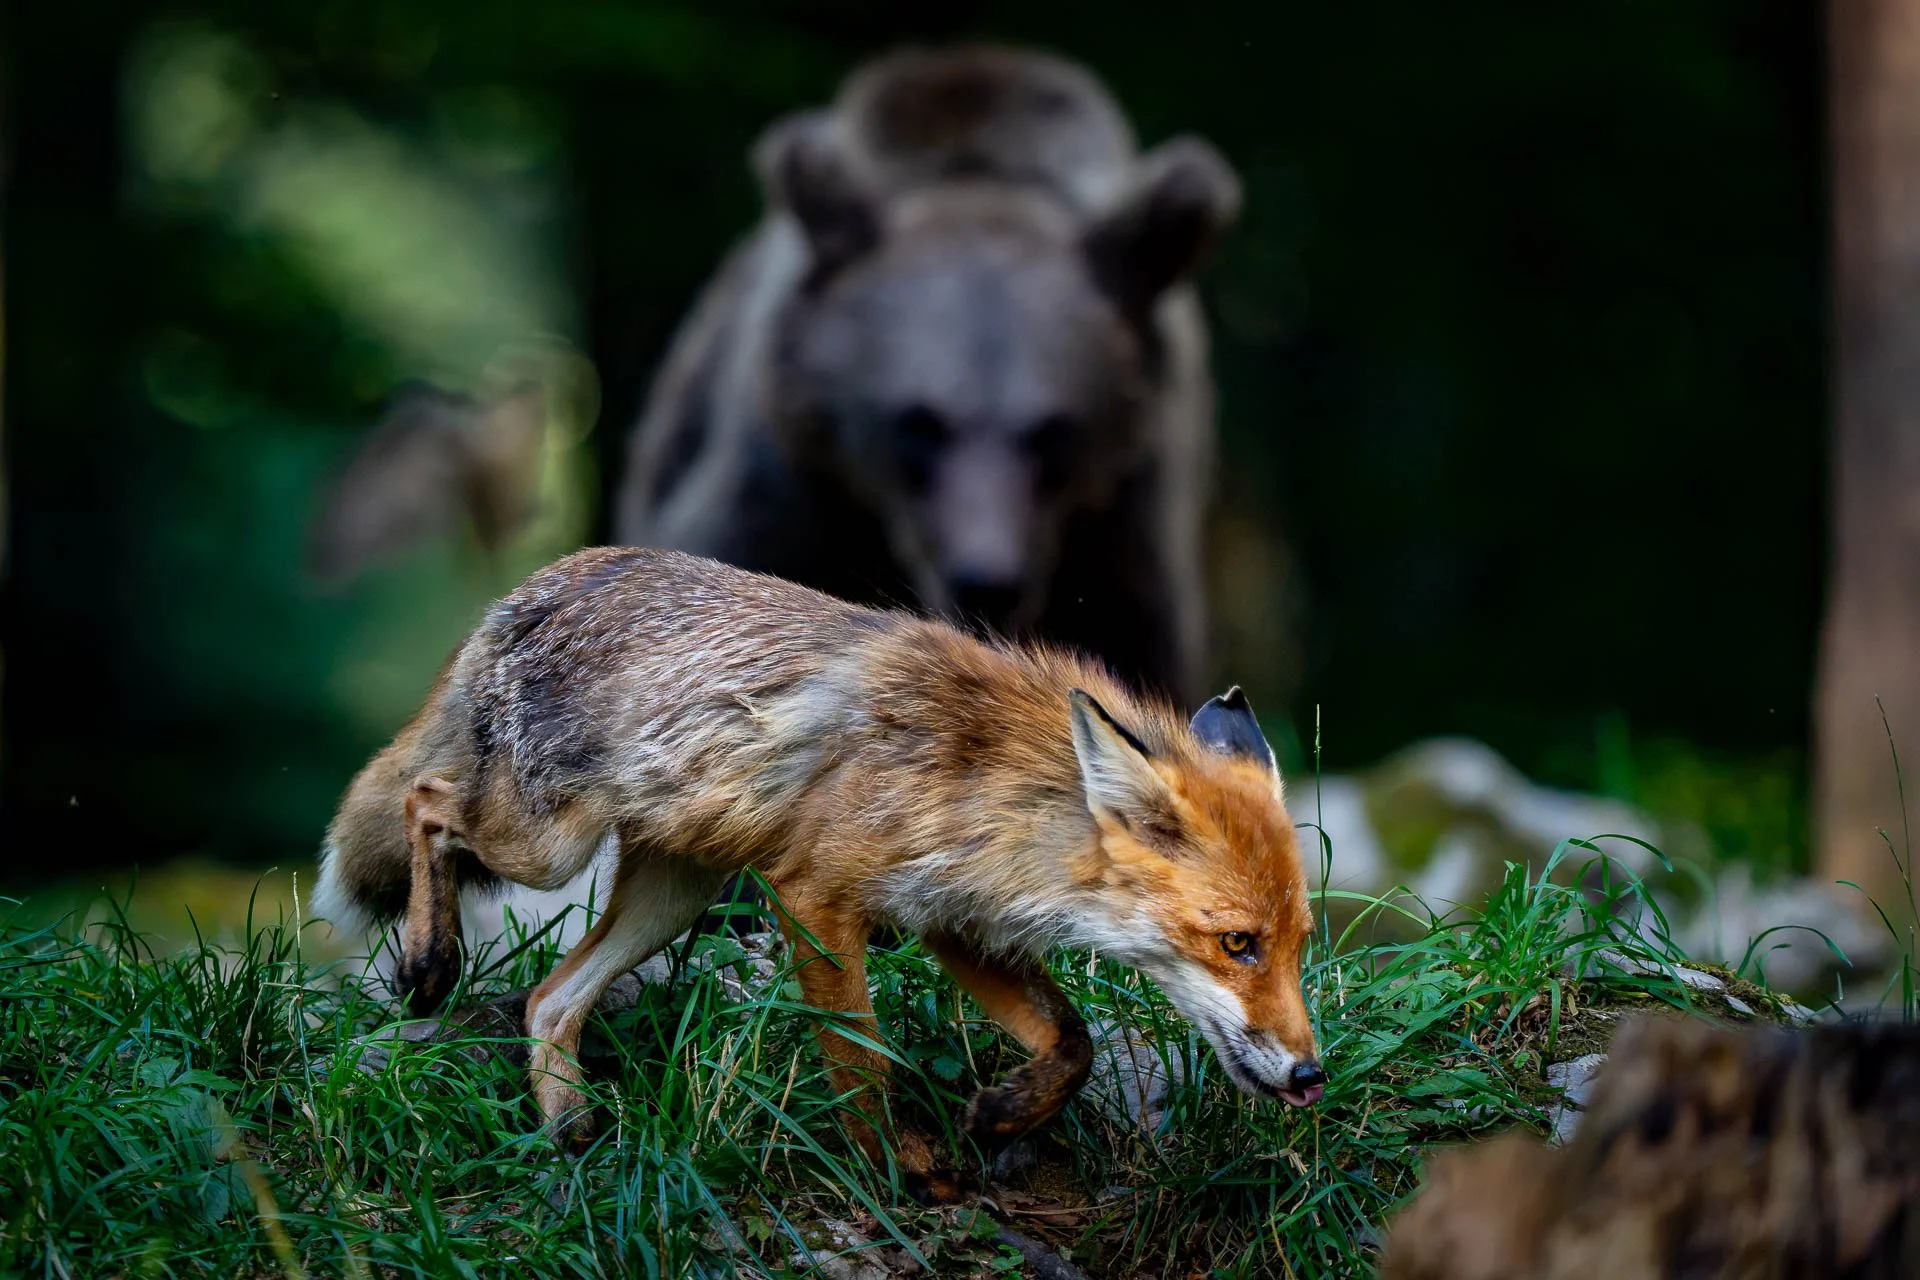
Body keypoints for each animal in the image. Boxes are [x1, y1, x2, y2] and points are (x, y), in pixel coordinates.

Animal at [313, 546, 1323, 1197]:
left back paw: (566, 1123)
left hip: (674, 892)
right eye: (1238, 944)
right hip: (547, 846)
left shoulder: (951, 921)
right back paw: (429, 963)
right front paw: (891, 1175)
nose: (1312, 1076)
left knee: (549, 999)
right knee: (428, 803)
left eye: (1296, 946)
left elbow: (1071, 1044)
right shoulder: (814, 898)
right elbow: (860, 1064)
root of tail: (544, 581)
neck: (985, 787)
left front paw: (1002, 1115)